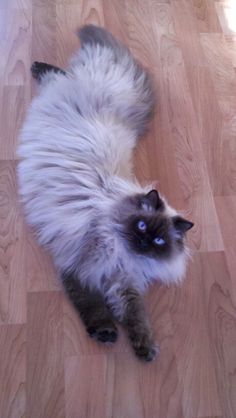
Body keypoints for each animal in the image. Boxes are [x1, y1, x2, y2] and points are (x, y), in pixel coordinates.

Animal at [17, 24, 194, 360]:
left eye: (159, 241)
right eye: (141, 225)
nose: (143, 242)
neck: (119, 253)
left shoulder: (124, 282)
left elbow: (136, 316)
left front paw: (144, 348)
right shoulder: (80, 266)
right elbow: (94, 307)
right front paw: (106, 332)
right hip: (67, 87)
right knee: (57, 74)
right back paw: (36, 66)